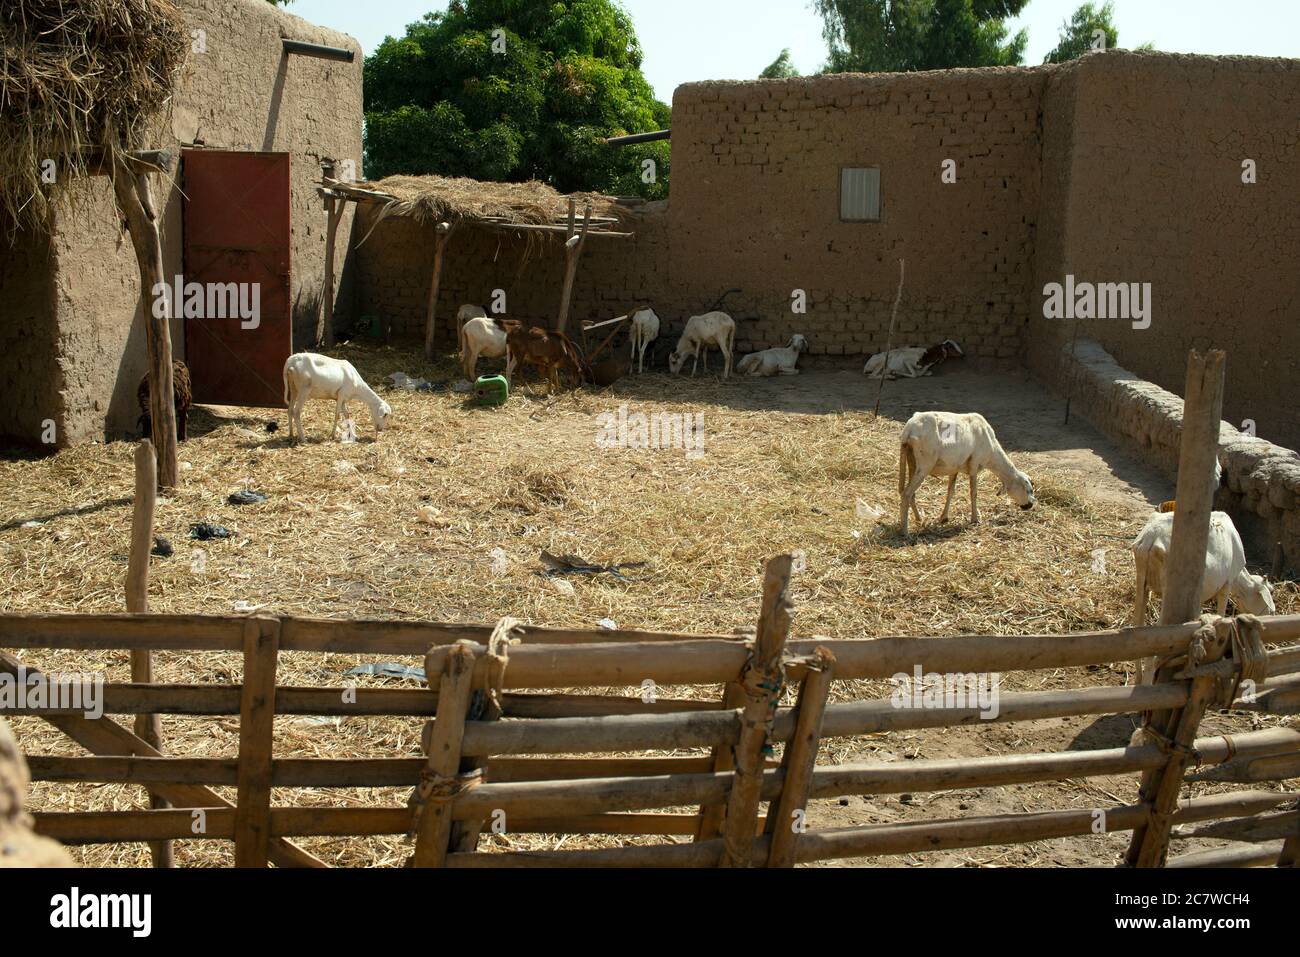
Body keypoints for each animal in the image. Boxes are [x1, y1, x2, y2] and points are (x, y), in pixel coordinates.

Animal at [894, 410, 1034, 538]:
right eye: (1028, 489)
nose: (1031, 505)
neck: (992, 453)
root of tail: (909, 429)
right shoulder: (974, 464)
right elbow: (974, 493)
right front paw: (975, 519)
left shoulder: (954, 468)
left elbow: (950, 492)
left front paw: (944, 518)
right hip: (925, 463)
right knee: (906, 494)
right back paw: (905, 532)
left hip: (911, 460)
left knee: (909, 493)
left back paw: (919, 519)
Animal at [1133, 512, 1274, 686]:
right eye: (1270, 592)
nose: (1272, 612)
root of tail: (1151, 537)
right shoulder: (1226, 584)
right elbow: (1221, 613)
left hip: (1142, 580)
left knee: (1139, 631)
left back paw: (1138, 679)